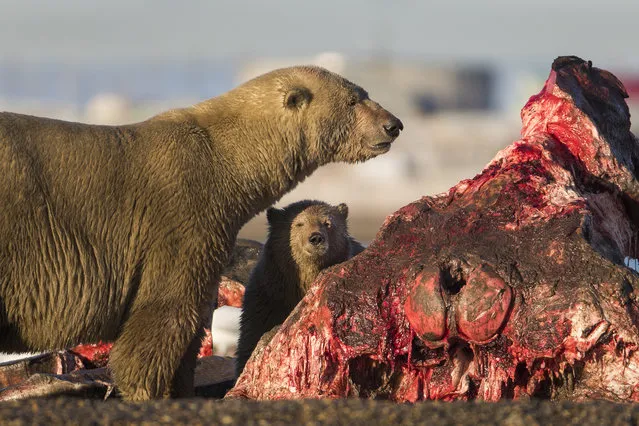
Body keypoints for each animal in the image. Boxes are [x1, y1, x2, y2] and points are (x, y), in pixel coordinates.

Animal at [0, 65, 402, 400]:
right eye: (353, 99)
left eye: (363, 92)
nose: (394, 124)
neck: (224, 157)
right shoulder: (179, 219)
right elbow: (165, 314)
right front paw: (148, 392)